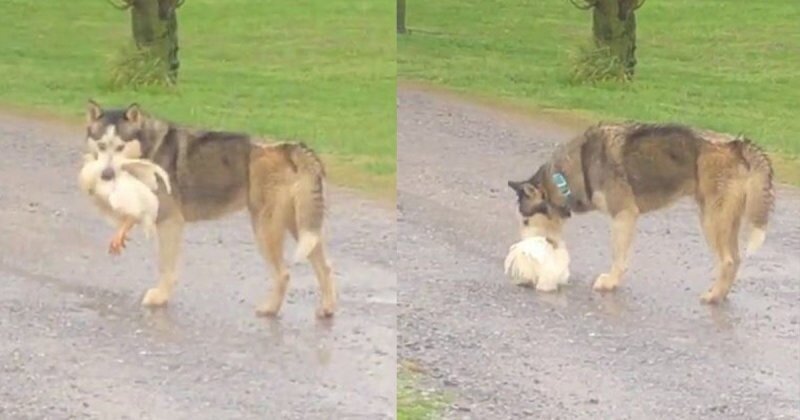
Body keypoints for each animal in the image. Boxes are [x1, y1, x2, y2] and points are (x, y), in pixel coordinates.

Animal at [83, 101, 338, 318]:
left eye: (120, 146)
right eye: (102, 145)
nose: (106, 174)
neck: (148, 148)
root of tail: (289, 147)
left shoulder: (170, 222)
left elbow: (166, 267)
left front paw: (159, 297)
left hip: (266, 227)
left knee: (283, 274)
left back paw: (269, 309)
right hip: (301, 226)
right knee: (325, 267)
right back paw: (326, 308)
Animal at [506, 122, 776, 306]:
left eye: (526, 220)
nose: (521, 247)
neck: (566, 178)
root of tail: (736, 145)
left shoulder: (624, 215)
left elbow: (619, 258)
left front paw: (610, 283)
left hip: (712, 220)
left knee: (728, 261)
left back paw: (713, 296)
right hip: (725, 219)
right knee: (736, 260)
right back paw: (721, 294)